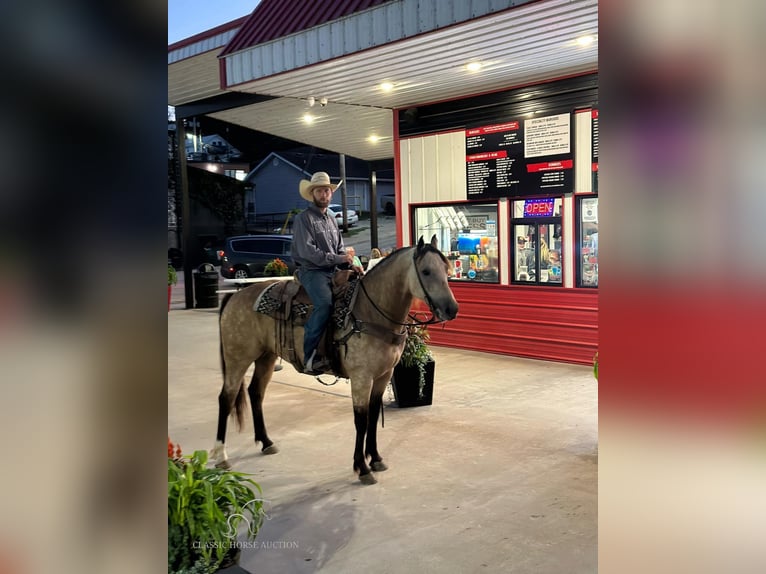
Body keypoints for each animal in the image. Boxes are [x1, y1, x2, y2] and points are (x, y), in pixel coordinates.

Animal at [213, 236, 460, 484]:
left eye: (446, 268)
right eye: (426, 271)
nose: (452, 309)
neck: (370, 312)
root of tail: (235, 296)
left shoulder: (383, 376)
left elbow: (373, 416)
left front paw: (376, 459)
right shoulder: (361, 378)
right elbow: (361, 420)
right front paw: (362, 468)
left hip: (266, 356)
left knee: (255, 393)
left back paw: (266, 442)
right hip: (238, 357)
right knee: (226, 398)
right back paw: (221, 457)